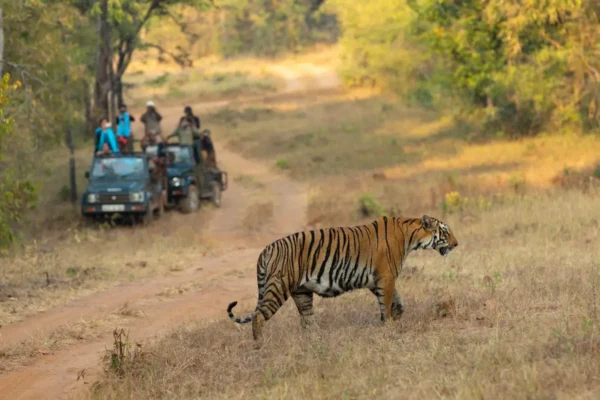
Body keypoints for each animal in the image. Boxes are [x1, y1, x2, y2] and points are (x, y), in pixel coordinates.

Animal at [226, 214, 460, 346]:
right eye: (445, 231)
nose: (457, 244)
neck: (411, 236)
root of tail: (266, 249)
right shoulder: (386, 277)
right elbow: (386, 304)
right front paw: (388, 326)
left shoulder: (377, 281)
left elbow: (398, 302)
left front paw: (396, 317)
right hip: (278, 287)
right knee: (258, 315)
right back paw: (259, 345)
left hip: (302, 293)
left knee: (307, 321)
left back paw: (316, 341)